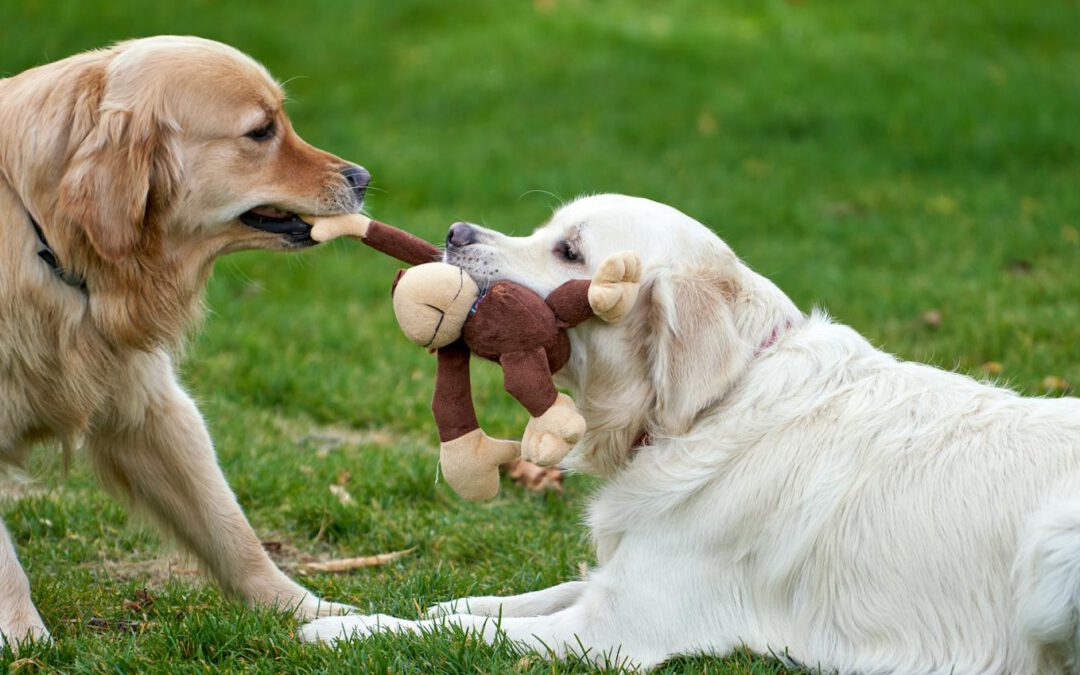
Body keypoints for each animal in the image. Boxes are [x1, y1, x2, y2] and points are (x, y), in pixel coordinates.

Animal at [0, 35, 367, 648]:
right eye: (261, 131)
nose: (361, 177)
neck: (46, 237)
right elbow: (6, 566)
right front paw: (24, 640)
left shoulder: (152, 407)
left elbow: (230, 528)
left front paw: (306, 610)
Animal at [300, 192, 1080, 669]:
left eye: (570, 251)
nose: (456, 233)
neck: (712, 407)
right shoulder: (618, 584)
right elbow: (511, 600)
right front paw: (448, 597)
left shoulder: (613, 631)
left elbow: (466, 629)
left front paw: (344, 626)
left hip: (1052, 551)